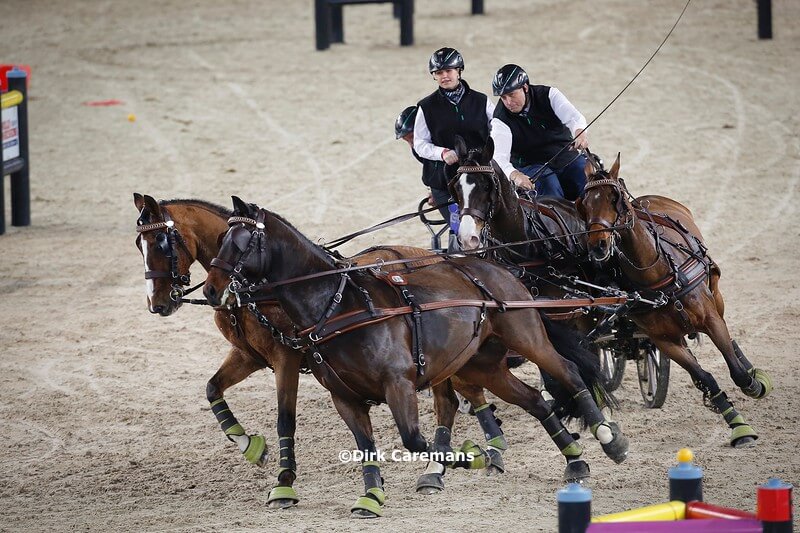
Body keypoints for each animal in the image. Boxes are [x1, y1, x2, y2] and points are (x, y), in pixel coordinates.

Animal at [134, 193, 524, 508]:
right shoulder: (249, 356)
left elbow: (285, 419)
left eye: (163, 242)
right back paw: (471, 453)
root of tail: (431, 254)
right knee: (459, 394)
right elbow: (212, 387)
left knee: (455, 396)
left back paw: (466, 455)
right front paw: (248, 443)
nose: (157, 303)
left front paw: (284, 483)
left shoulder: (286, 358)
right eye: (139, 245)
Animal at [202, 196, 629, 518]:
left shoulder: (398, 384)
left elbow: (412, 439)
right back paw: (575, 460)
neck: (337, 305)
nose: (209, 290)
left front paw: (471, 455)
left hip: (525, 337)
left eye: (241, 242)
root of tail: (498, 266)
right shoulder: (345, 397)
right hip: (481, 365)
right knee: (535, 400)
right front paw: (371, 496)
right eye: (221, 238)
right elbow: (367, 445)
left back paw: (609, 439)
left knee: (569, 372)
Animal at [575, 155, 773, 447]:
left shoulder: (710, 319)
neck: (658, 275)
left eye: (615, 198)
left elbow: (736, 370)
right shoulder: (664, 341)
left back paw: (748, 365)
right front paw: (738, 426)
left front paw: (755, 385)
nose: (598, 245)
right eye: (584, 204)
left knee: (730, 338)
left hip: (715, 292)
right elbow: (704, 377)